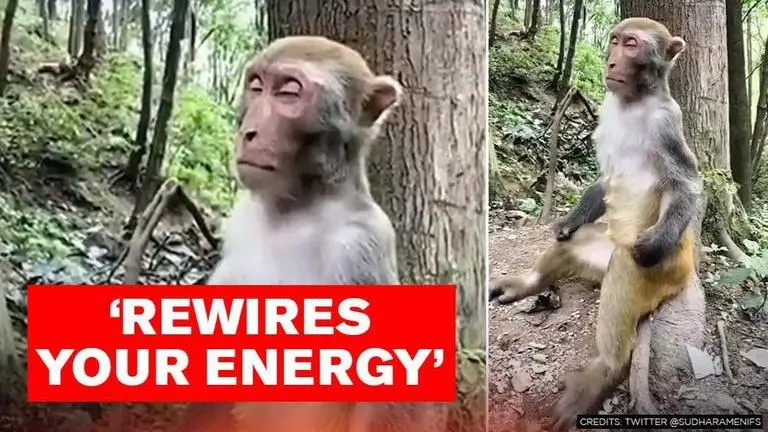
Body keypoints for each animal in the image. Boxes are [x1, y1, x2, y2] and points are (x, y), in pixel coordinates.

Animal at [490, 17, 702, 430]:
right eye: (615, 41)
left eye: (631, 45)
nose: (611, 62)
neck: (633, 103)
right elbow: (603, 181)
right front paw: (567, 221)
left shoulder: (667, 122)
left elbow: (686, 184)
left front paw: (651, 245)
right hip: (599, 252)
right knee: (573, 243)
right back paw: (530, 283)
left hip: (668, 268)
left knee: (626, 265)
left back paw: (605, 368)